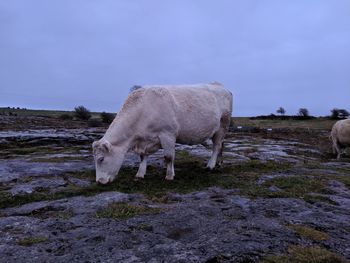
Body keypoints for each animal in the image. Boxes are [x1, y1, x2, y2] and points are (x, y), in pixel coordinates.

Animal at [92, 83, 232, 185]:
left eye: (101, 159)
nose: (99, 182)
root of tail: (220, 85)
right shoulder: (143, 140)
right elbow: (142, 157)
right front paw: (140, 174)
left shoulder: (167, 134)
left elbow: (169, 157)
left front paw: (169, 176)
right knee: (221, 145)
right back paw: (219, 163)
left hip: (222, 125)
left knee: (216, 146)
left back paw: (210, 166)